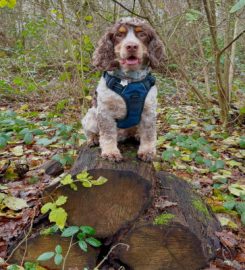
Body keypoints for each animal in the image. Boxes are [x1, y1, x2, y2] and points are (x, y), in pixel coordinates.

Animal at [82, 17, 165, 162]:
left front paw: (147, 151)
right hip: (91, 115)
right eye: (119, 35)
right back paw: (93, 139)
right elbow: (108, 133)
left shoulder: (149, 111)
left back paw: (137, 135)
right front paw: (110, 152)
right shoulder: (105, 112)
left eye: (142, 34)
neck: (129, 81)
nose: (131, 46)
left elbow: (148, 133)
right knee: (91, 132)